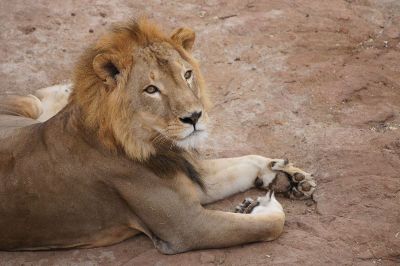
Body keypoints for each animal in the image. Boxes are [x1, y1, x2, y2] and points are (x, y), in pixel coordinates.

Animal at [0, 18, 316, 254]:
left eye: (187, 74)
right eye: (151, 89)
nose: (194, 117)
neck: (157, 145)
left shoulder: (196, 179)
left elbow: (247, 161)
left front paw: (288, 175)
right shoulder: (187, 228)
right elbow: (268, 225)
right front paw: (260, 205)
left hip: (28, 107)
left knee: (40, 100)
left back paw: (66, 89)